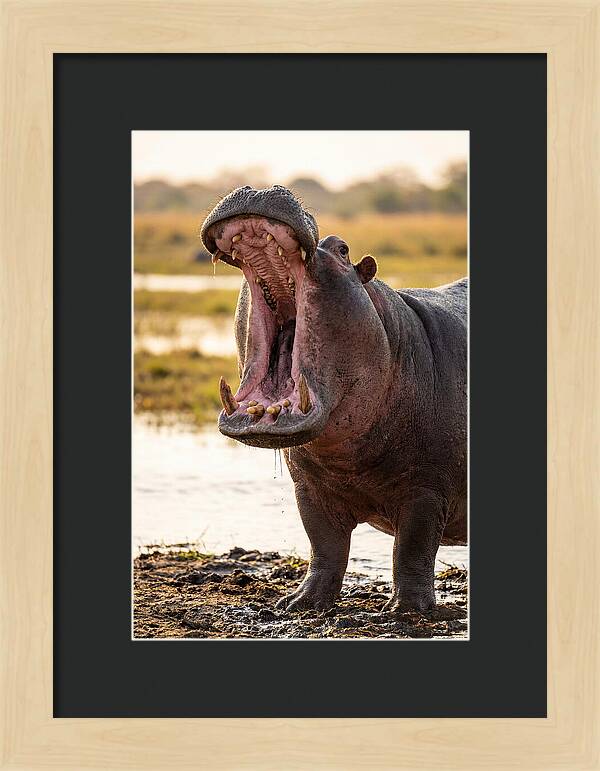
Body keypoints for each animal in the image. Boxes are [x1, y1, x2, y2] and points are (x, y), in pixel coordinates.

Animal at [201, 185, 467, 612]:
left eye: (342, 249)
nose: (261, 188)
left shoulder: (427, 490)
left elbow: (413, 549)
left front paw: (407, 610)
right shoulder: (308, 488)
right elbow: (324, 545)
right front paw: (299, 603)